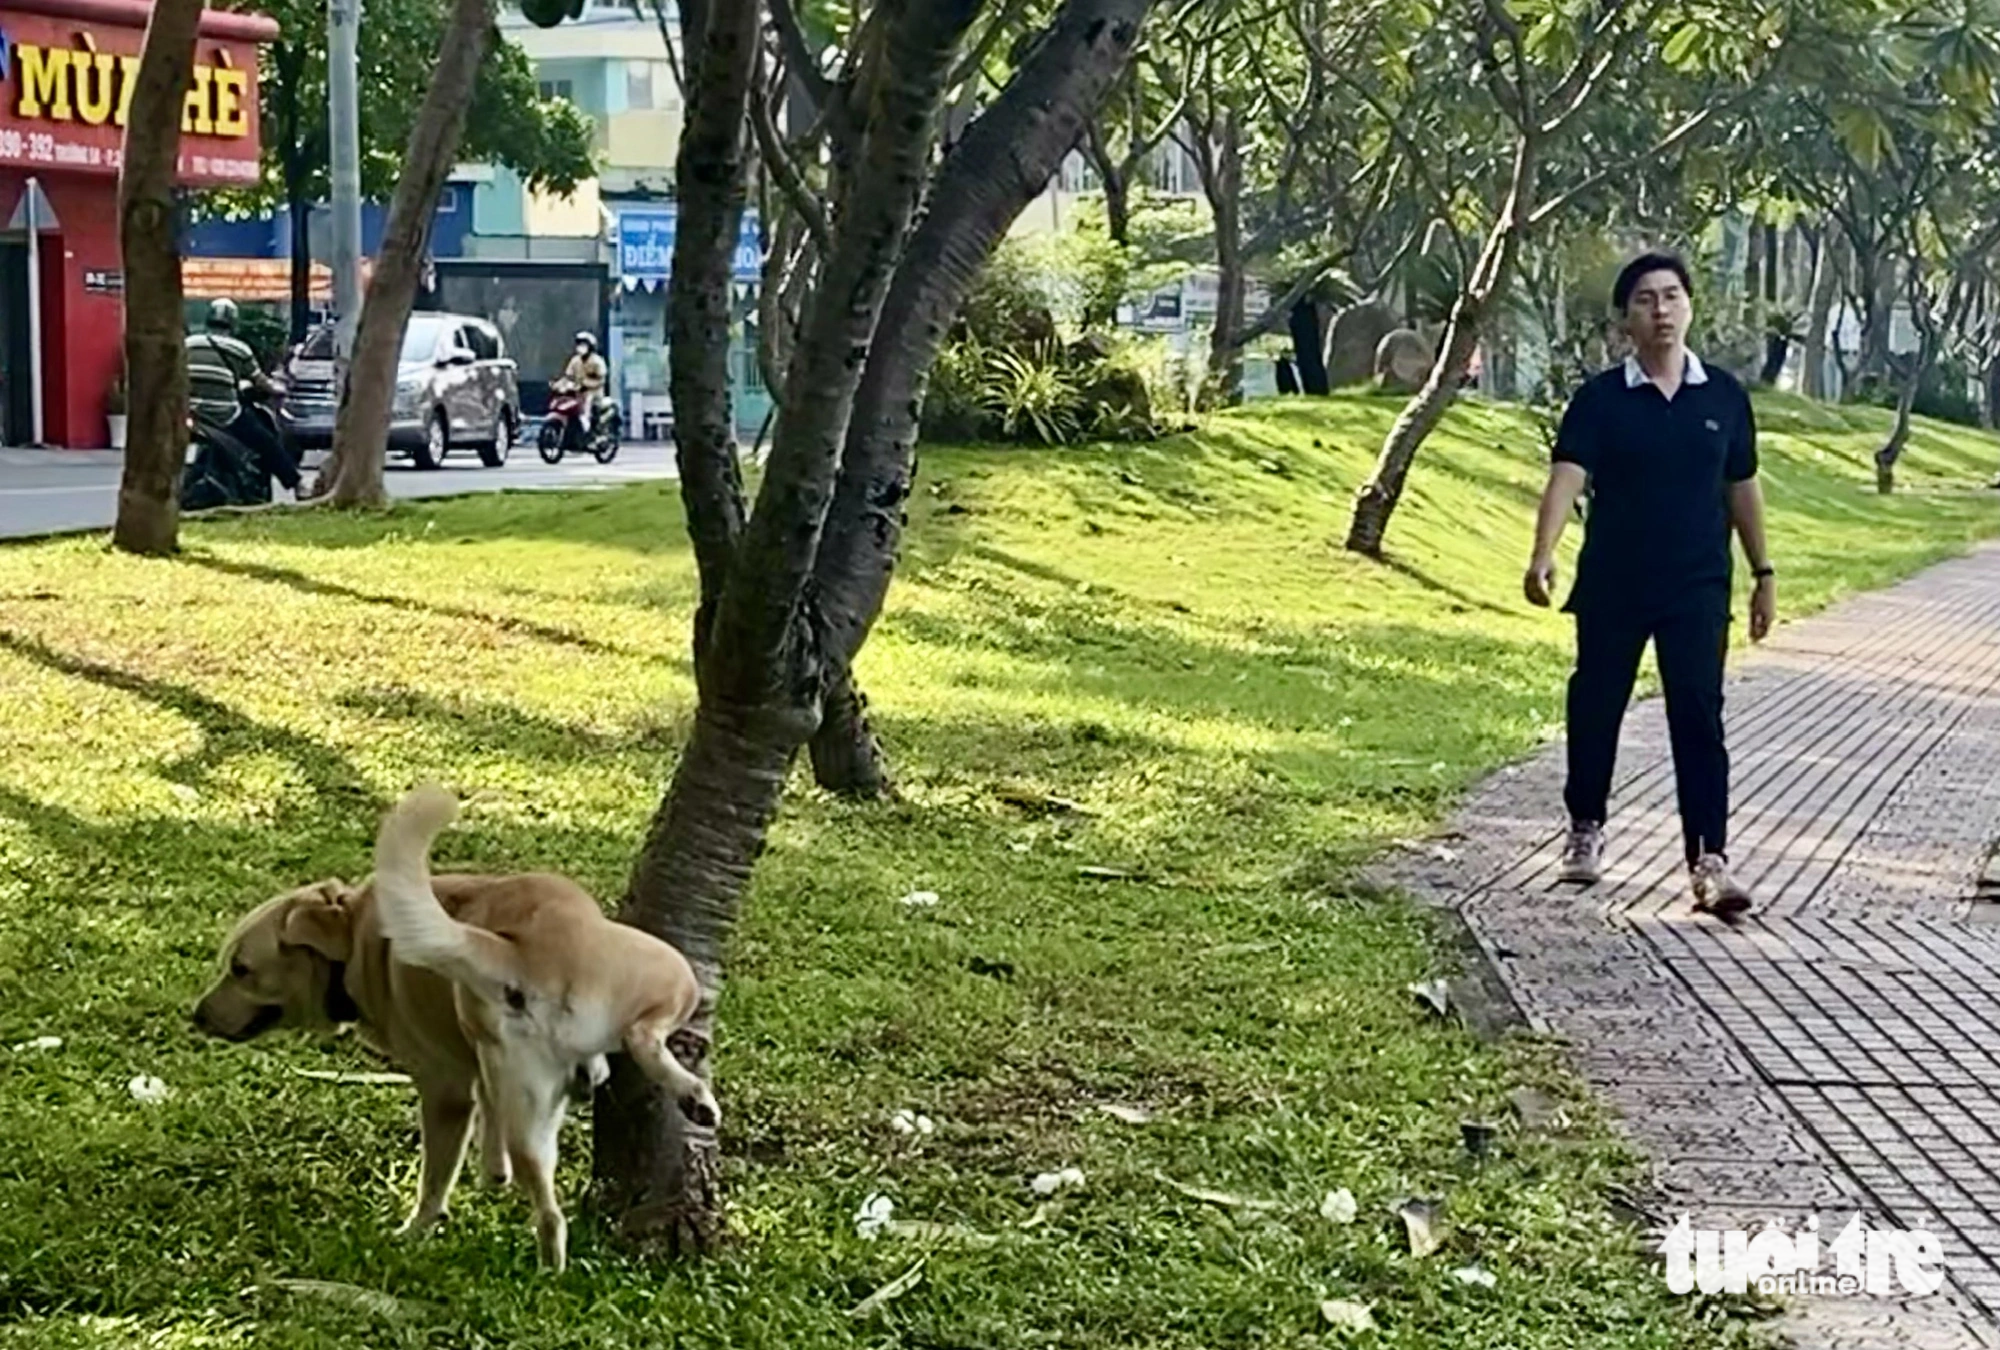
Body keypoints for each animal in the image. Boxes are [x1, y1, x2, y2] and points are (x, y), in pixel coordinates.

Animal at [189, 788, 720, 1272]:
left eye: (240, 969)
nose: (196, 1016)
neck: (355, 933)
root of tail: (519, 948)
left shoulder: (443, 1086)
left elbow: (438, 1175)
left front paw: (421, 1225)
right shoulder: (482, 1058)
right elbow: (491, 1110)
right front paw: (494, 1171)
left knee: (550, 1215)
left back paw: (541, 1267)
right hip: (665, 975)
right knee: (641, 1039)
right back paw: (690, 1095)